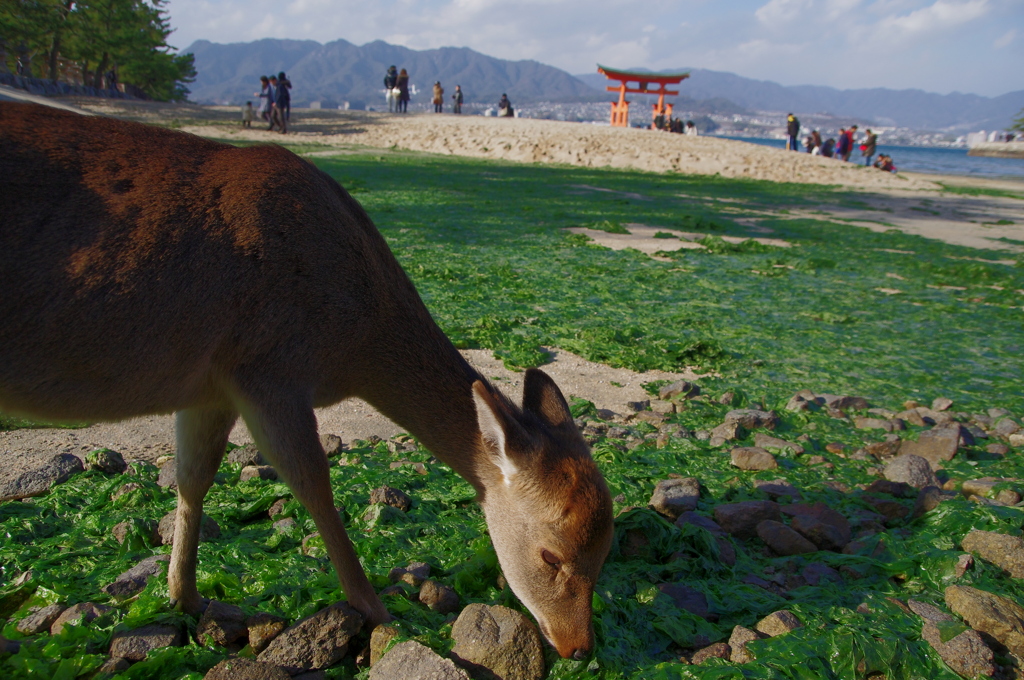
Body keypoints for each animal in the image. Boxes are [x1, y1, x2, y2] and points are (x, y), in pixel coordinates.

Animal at [0, 100, 610, 659]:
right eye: (550, 554)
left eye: (605, 550)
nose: (578, 646)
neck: (356, 339)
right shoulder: (269, 368)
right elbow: (314, 483)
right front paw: (380, 610)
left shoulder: (211, 384)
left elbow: (193, 477)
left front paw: (187, 598)